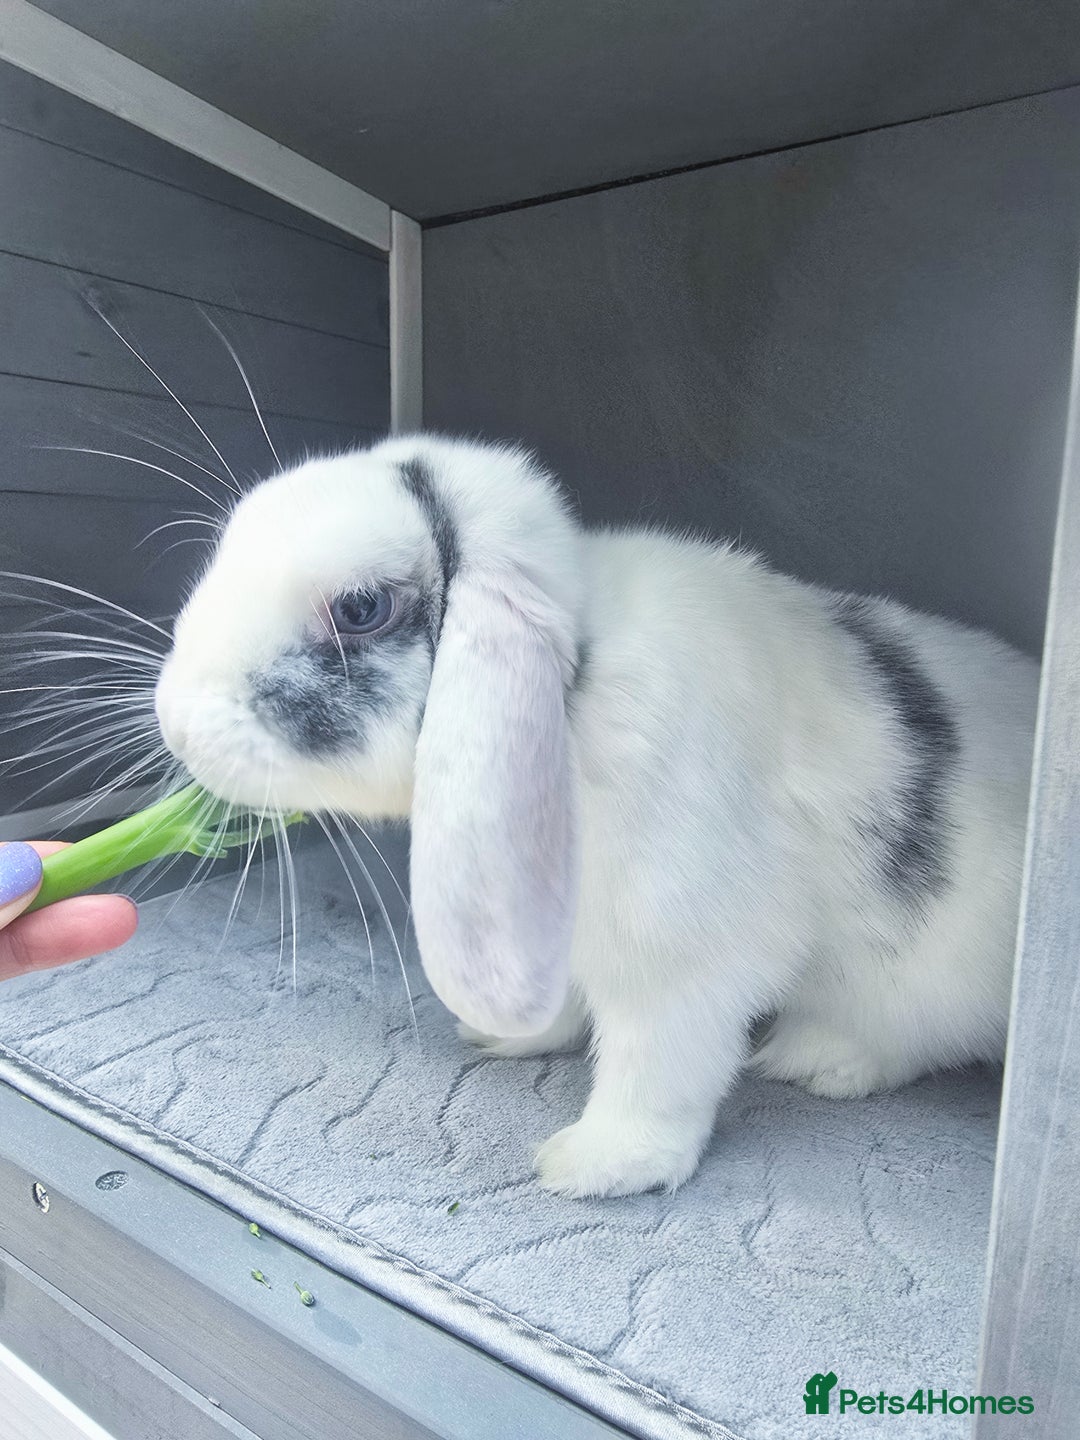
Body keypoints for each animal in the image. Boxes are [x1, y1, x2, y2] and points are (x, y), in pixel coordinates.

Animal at [155, 434, 1040, 1198]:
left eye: (361, 607)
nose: (176, 722)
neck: (575, 697)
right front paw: (505, 1038)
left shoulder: (681, 958)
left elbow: (659, 1067)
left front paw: (597, 1168)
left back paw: (820, 1058)